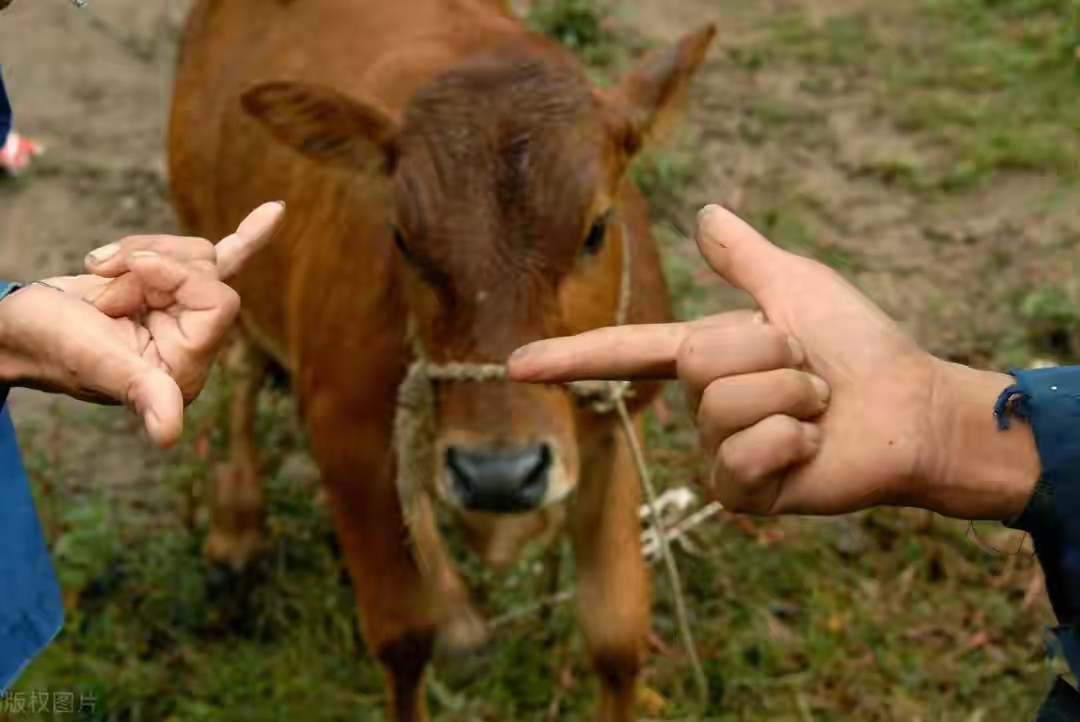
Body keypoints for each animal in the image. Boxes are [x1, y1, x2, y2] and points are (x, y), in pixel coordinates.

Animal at [168, 2, 712, 716]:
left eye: (596, 228)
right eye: (402, 238)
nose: (499, 474)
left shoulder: (615, 425)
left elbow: (616, 636)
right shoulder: (347, 439)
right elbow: (404, 640)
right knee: (241, 372)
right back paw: (235, 530)